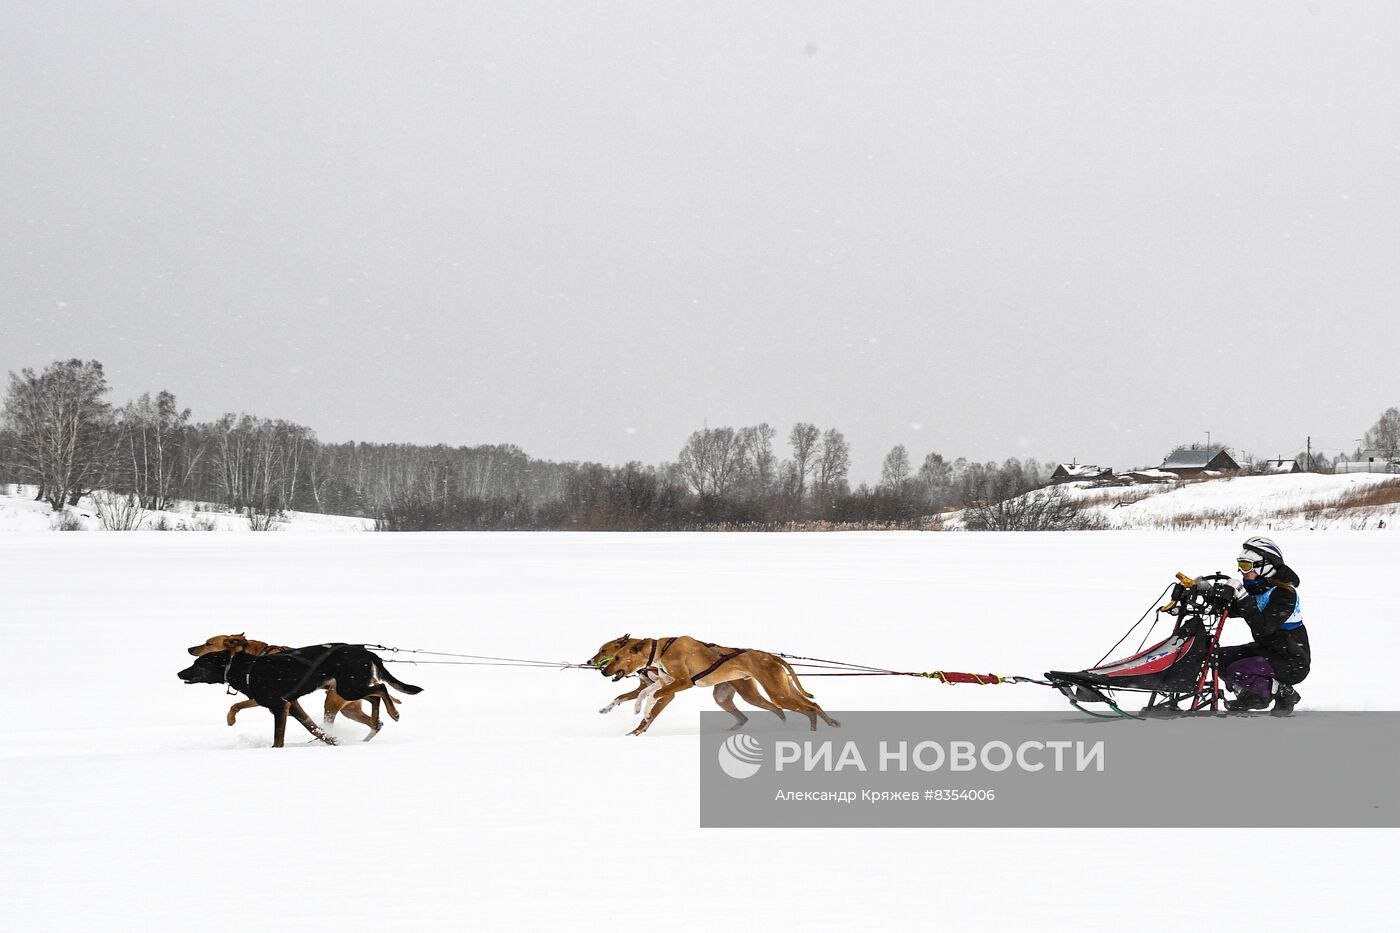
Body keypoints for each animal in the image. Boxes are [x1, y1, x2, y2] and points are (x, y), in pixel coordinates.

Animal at [177, 644, 422, 745]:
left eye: (198, 664)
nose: (179, 673)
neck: (247, 669)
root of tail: (367, 651)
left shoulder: (279, 706)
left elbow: (278, 737)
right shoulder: (291, 705)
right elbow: (314, 728)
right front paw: (332, 740)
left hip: (348, 688)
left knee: (381, 689)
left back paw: (393, 714)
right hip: (350, 688)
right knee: (375, 696)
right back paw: (376, 722)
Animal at [186, 633, 394, 734]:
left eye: (208, 643)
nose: (189, 649)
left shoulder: (267, 698)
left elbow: (236, 704)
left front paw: (231, 718)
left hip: (335, 701)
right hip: (349, 707)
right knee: (376, 719)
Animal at [585, 633, 834, 734]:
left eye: (611, 654)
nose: (601, 669)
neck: (660, 650)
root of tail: (771, 657)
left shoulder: (680, 683)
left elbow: (652, 698)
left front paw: (643, 716)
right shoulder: (663, 682)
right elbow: (639, 694)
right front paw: (634, 709)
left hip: (776, 692)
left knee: (810, 707)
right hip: (745, 695)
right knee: (795, 708)